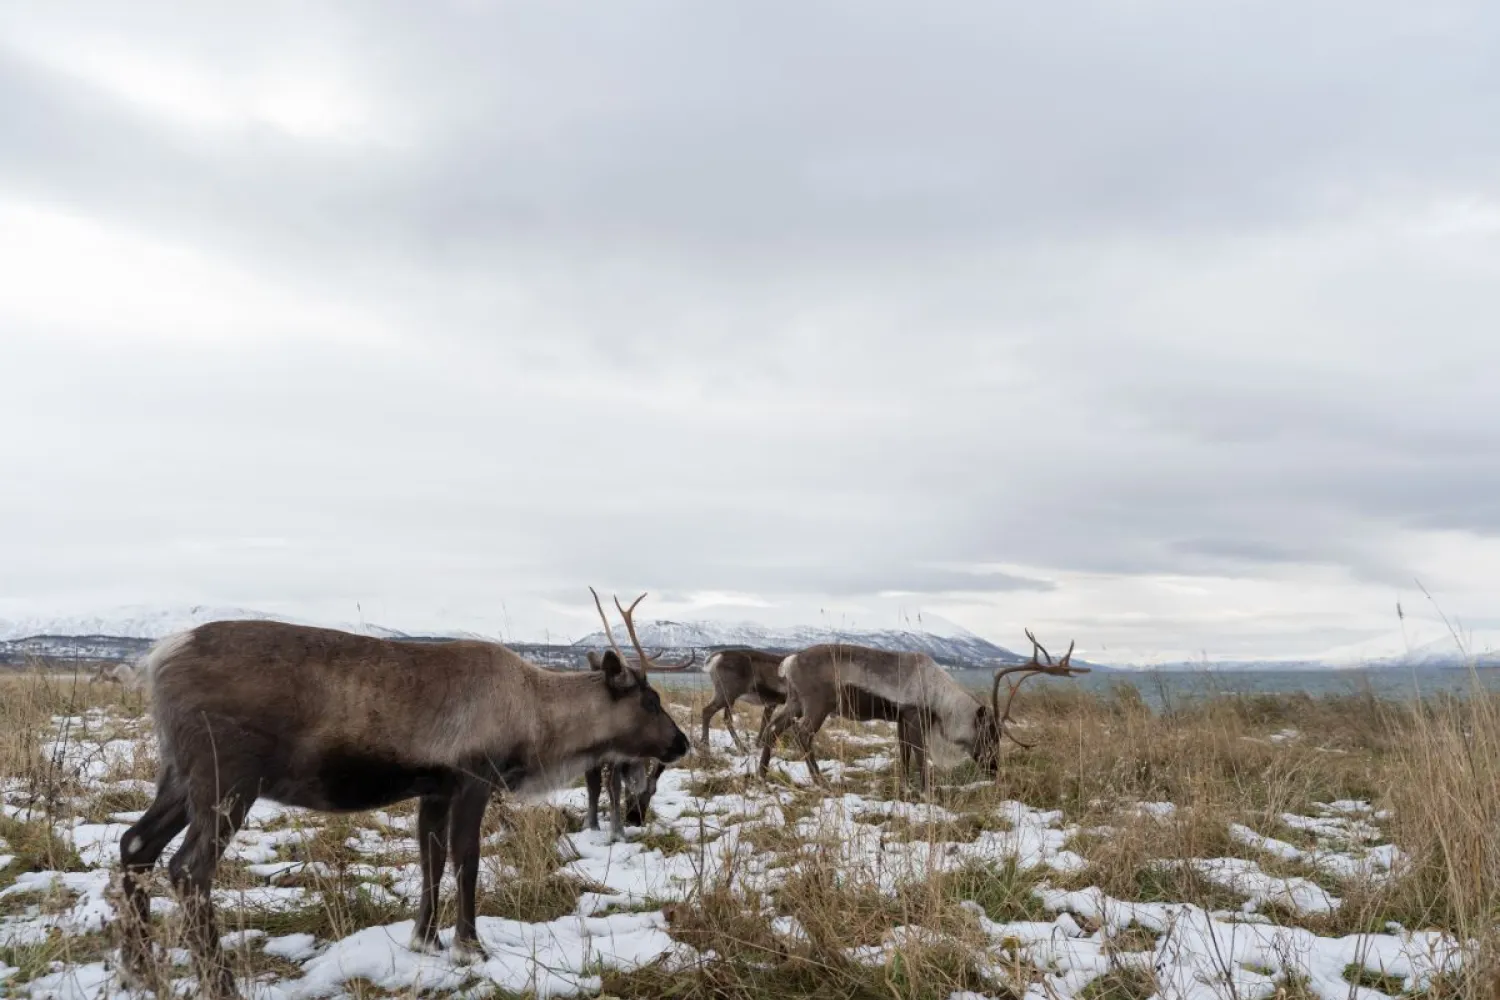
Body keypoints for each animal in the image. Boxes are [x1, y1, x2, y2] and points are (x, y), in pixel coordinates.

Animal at [115, 593, 690, 1000]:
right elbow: (465, 859)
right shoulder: (474, 778)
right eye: (650, 699)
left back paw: (138, 972)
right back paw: (221, 984)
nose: (682, 743)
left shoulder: (432, 788)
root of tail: (158, 658)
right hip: (228, 777)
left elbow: (429, 857)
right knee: (188, 868)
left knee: (136, 844)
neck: (536, 721)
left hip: (179, 775)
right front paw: (469, 947)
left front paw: (425, 939)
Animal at [758, 630, 1086, 793]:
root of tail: (789, 660)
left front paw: (906, 788)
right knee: (802, 734)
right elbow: (919, 755)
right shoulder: (915, 716)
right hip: (817, 704)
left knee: (773, 728)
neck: (942, 699)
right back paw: (820, 782)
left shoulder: (902, 719)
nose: (994, 768)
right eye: (989, 733)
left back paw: (762, 775)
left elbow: (904, 754)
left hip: (795, 701)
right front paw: (926, 791)